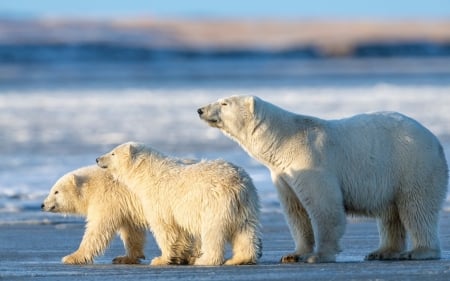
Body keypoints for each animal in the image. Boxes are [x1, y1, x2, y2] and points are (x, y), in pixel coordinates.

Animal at [96, 142, 262, 264]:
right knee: (246, 230)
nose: (97, 159)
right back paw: (240, 259)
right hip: (248, 204)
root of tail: (239, 183)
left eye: (113, 153)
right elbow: (180, 232)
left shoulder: (159, 199)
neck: (148, 174)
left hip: (216, 204)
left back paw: (205, 260)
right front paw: (179, 256)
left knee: (213, 232)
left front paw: (161, 259)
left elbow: (165, 228)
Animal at [199, 94, 448, 262]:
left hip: (412, 165)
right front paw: (294, 255)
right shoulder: (283, 174)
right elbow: (296, 211)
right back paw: (382, 252)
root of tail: (435, 140)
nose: (200, 109)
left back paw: (419, 251)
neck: (284, 140)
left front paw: (319, 255)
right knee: (390, 214)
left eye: (224, 103)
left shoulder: (311, 159)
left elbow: (324, 206)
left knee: (416, 208)